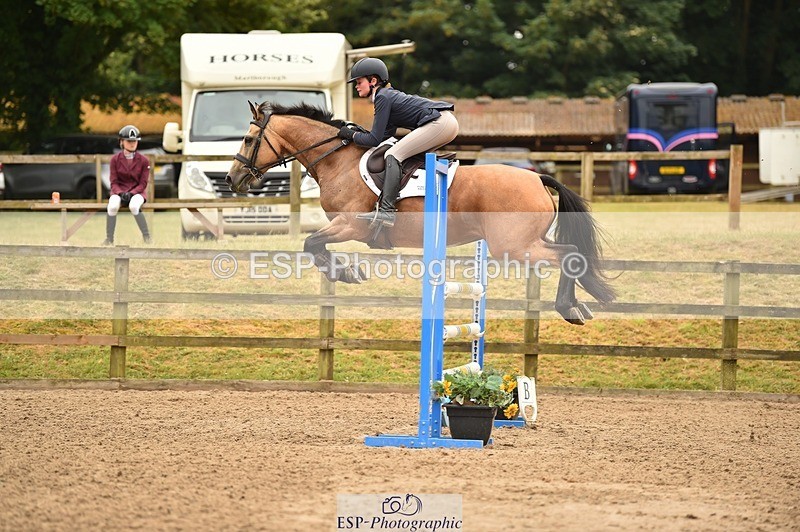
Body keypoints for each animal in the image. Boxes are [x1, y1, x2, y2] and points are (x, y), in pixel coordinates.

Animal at [226, 101, 615, 325]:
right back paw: (577, 305)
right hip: (529, 241)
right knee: (571, 254)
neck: (338, 160)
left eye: (248, 140)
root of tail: (537, 177)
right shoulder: (343, 227)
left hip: (515, 246)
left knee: (569, 255)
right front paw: (346, 271)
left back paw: (568, 308)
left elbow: (311, 244)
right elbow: (315, 246)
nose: (233, 178)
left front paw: (345, 272)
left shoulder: (350, 225)